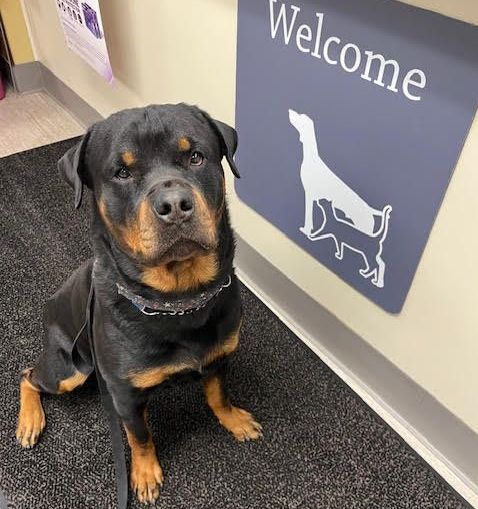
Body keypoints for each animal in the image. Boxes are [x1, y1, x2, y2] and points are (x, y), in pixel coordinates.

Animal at [15, 103, 262, 504]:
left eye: (195, 157)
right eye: (122, 172)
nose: (175, 205)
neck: (178, 299)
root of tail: (51, 303)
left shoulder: (219, 356)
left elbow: (218, 393)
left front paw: (234, 419)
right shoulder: (124, 394)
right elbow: (139, 436)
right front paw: (144, 475)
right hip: (71, 369)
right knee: (28, 376)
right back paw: (30, 421)